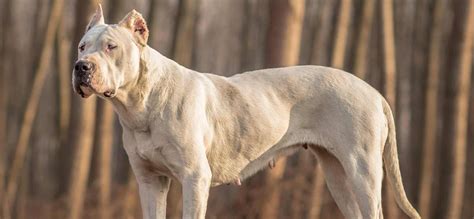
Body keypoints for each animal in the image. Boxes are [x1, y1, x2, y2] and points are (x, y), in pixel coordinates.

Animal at [72, 5, 420, 219]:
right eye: (81, 46)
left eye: (111, 47)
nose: (81, 67)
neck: (141, 104)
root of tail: (374, 92)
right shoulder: (150, 180)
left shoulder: (194, 178)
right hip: (337, 173)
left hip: (362, 170)